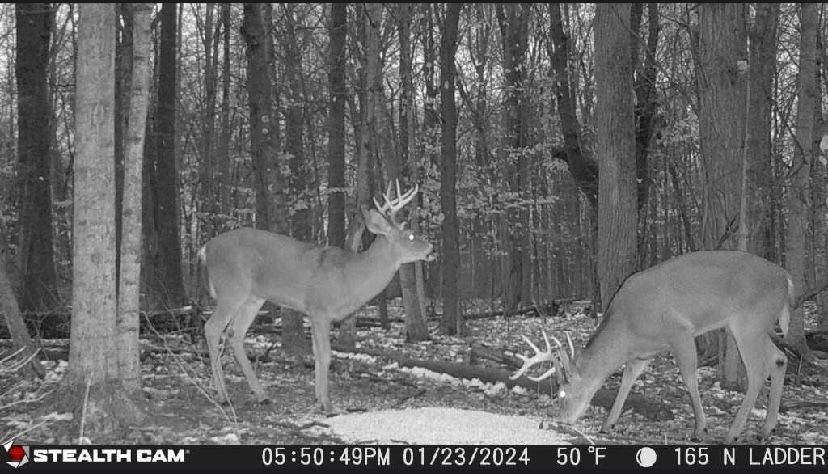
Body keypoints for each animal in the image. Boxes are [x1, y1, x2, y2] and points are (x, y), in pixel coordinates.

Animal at [199, 180, 433, 412]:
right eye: (410, 236)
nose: (431, 248)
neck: (349, 277)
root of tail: (205, 248)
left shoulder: (311, 312)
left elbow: (317, 354)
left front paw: (318, 399)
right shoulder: (320, 308)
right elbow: (325, 355)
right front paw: (327, 403)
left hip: (253, 298)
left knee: (234, 334)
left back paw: (261, 394)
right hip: (231, 288)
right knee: (211, 328)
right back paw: (223, 395)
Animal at [512, 250, 793, 443]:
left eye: (561, 393)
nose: (562, 420)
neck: (628, 328)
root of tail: (787, 278)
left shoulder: (680, 331)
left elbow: (689, 378)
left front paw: (699, 428)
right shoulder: (642, 353)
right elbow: (627, 380)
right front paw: (608, 424)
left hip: (749, 322)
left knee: (758, 370)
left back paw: (732, 433)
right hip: (757, 326)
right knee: (779, 358)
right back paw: (766, 429)